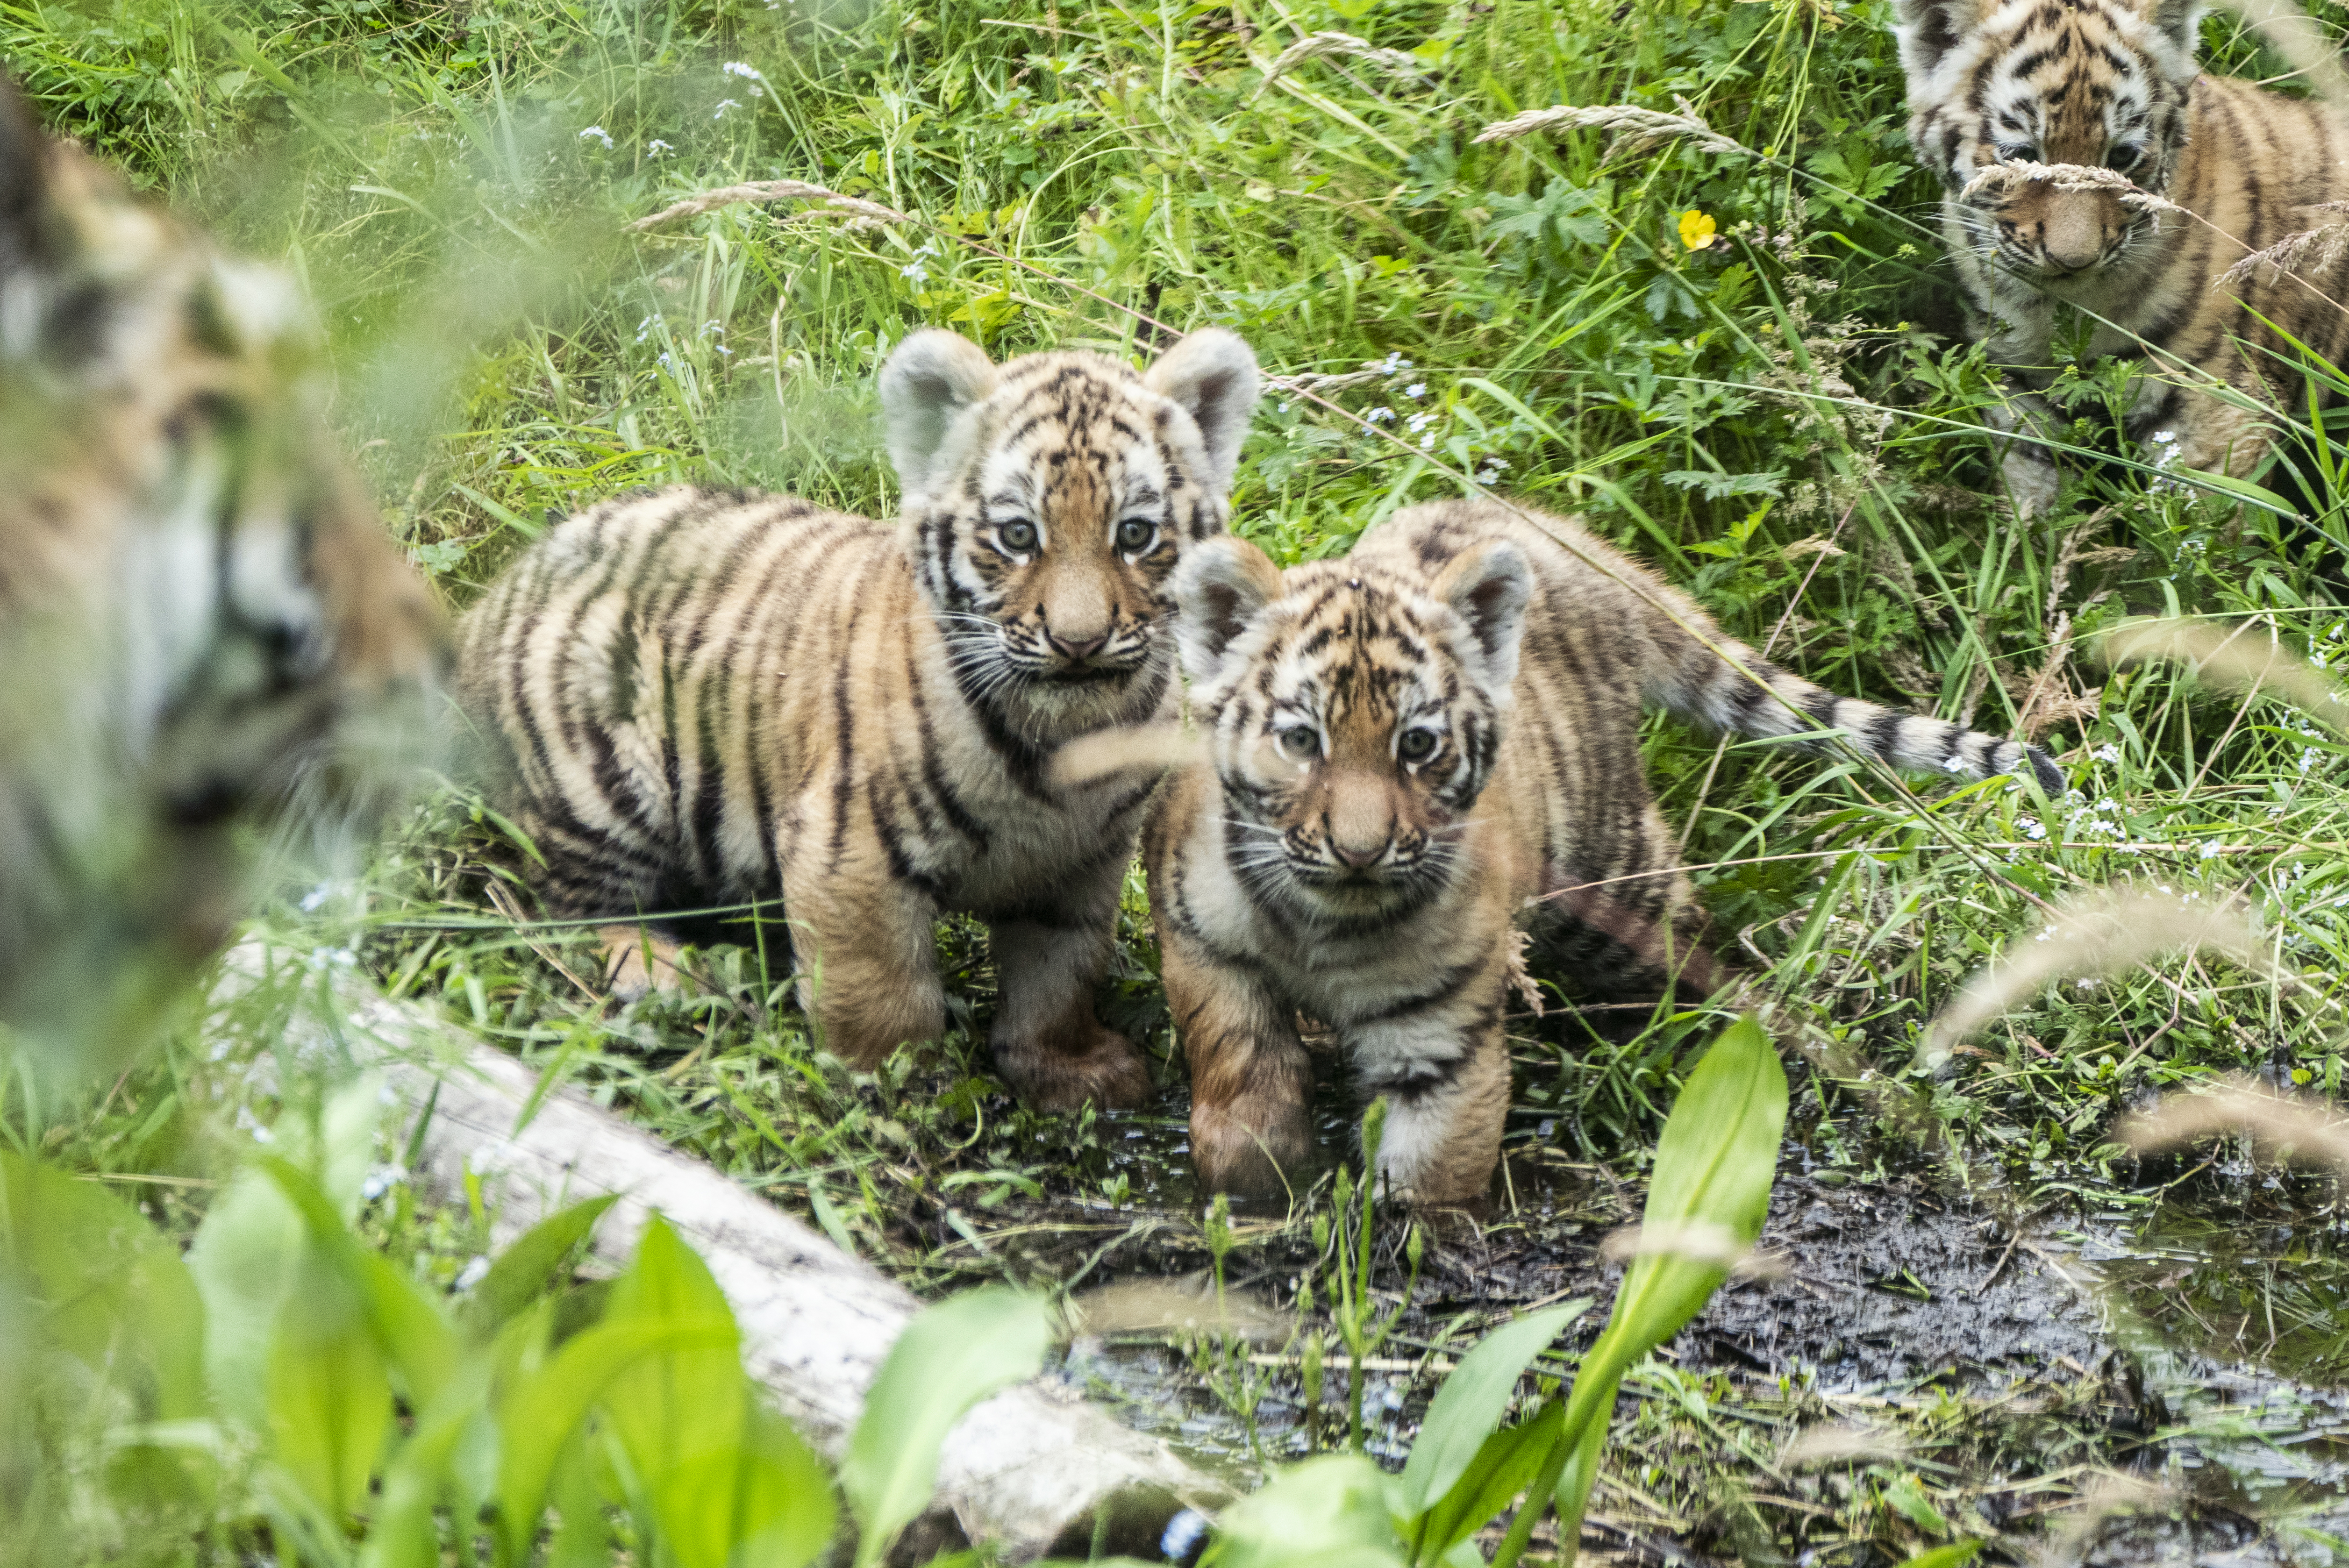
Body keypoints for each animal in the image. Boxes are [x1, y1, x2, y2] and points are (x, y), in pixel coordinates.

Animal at [454, 326, 1259, 1110]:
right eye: (1018, 536)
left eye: (1135, 535)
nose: (1078, 642)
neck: (1068, 741)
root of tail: (490, 599)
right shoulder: (851, 849)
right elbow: (881, 994)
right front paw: (898, 1093)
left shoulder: (1083, 861)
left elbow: (1060, 974)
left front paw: (1069, 1071)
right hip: (601, 775)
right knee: (555, 911)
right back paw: (662, 975)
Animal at [1141, 497, 2061, 1208]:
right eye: (1301, 740)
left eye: (1418, 745)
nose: (1359, 853)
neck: (1320, 920)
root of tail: (1564, 537)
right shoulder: (1204, 949)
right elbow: (1237, 1076)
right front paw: (1251, 1189)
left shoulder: (1441, 1039)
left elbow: (1431, 1171)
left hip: (1614, 874)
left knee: (1689, 943)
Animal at [1896, 0, 2349, 513]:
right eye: (2019, 155)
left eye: (2122, 157)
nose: (2073, 260)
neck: (2062, 310)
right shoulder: (2018, 391)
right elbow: (2034, 498)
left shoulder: (2219, 406)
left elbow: (2201, 524)